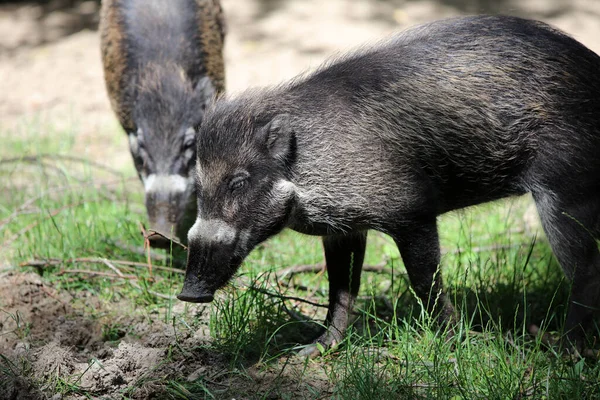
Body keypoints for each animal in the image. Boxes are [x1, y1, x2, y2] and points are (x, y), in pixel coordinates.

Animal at [178, 14, 600, 354]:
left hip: (565, 188)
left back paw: (561, 351)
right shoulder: (343, 231)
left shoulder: (412, 212)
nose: (188, 293)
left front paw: (451, 343)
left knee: (585, 273)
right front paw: (313, 350)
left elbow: (424, 281)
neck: (307, 167)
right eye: (198, 184)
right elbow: (341, 290)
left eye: (238, 181)